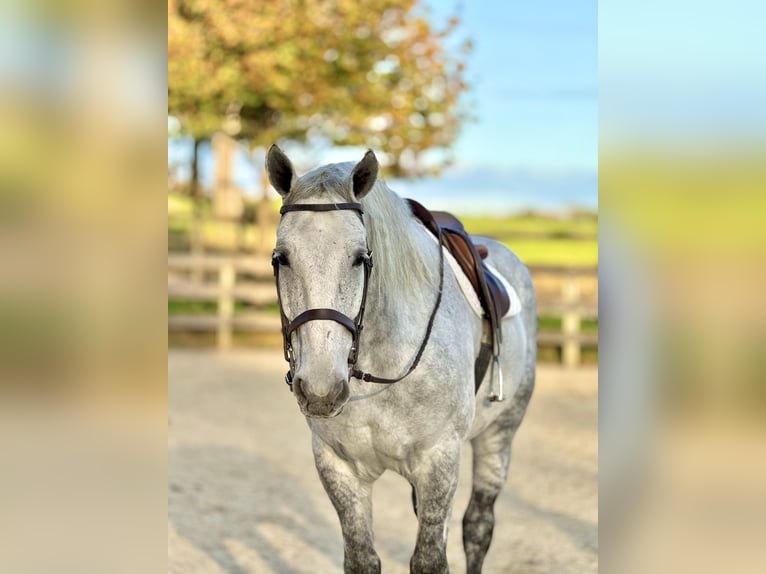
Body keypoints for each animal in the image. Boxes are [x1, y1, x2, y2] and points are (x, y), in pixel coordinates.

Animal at [266, 145, 536, 574]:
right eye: (282, 258)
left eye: (360, 258)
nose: (321, 390)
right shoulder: (338, 467)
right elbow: (362, 558)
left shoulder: (438, 463)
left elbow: (430, 559)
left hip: (499, 436)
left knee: (478, 526)